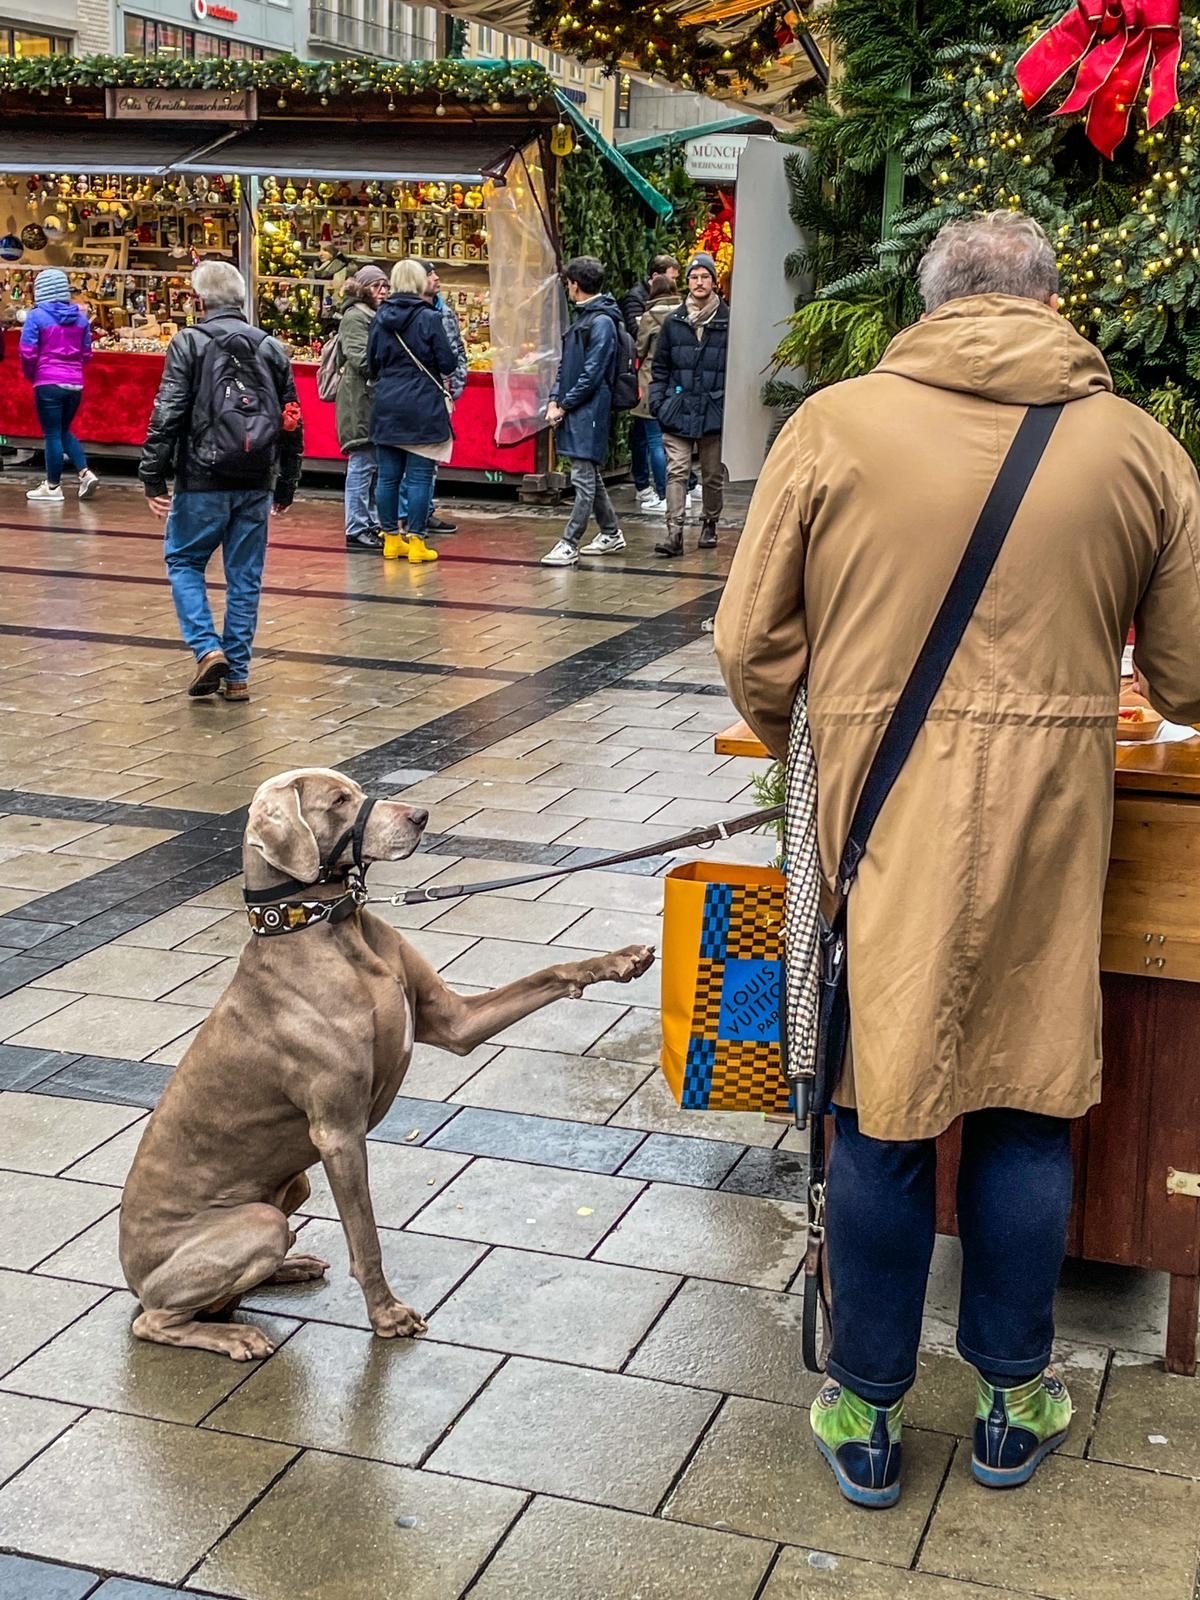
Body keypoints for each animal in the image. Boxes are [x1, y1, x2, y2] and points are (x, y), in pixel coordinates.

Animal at [122, 768, 659, 1356]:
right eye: (339, 800)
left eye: (356, 786)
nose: (421, 816)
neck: (332, 929)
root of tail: (132, 1274)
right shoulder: (338, 1133)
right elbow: (366, 1236)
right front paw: (386, 1315)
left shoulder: (456, 1023)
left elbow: (548, 973)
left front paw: (621, 960)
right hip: (254, 1223)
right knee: (156, 1320)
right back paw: (235, 1335)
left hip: (294, 1185)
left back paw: (290, 1266)